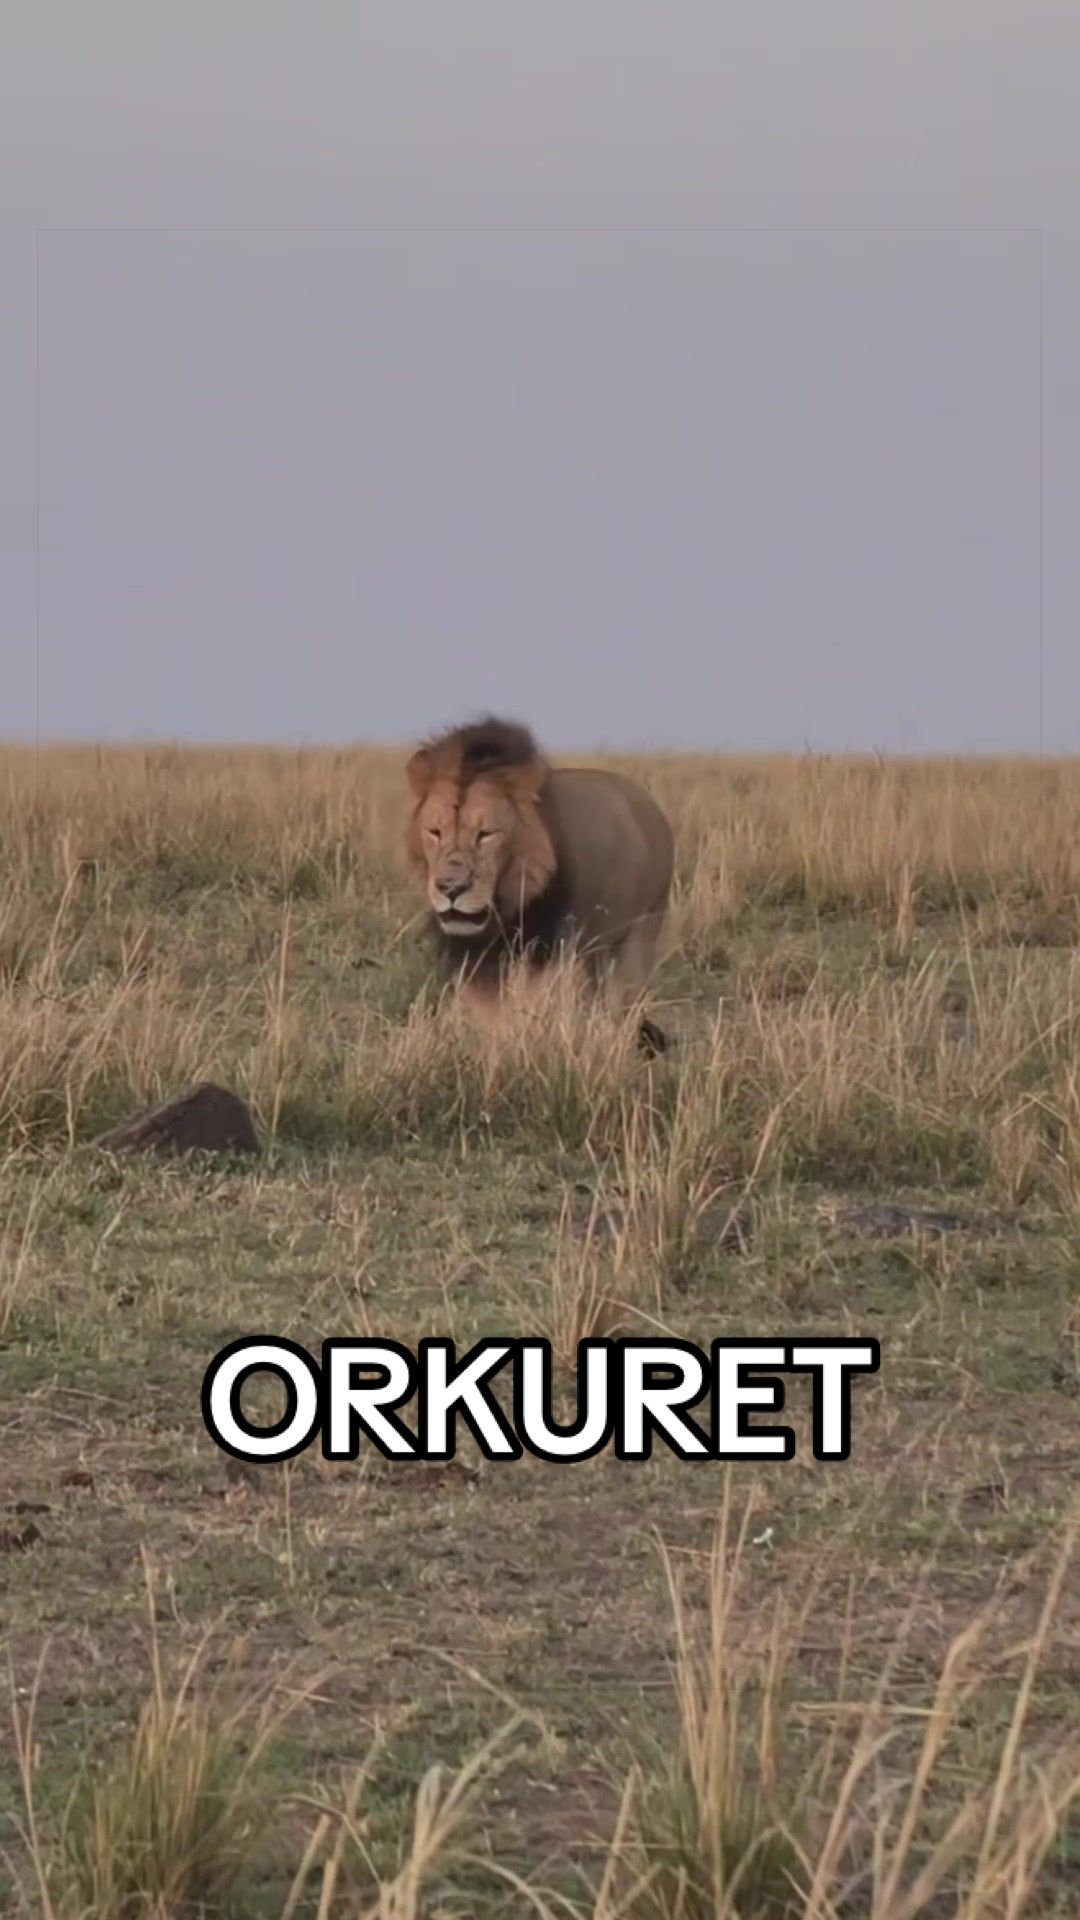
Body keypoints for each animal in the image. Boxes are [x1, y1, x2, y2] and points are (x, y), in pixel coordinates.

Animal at [404, 716, 675, 1054]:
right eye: (434, 832)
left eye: (486, 834)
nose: (451, 888)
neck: (503, 910)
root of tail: (650, 804)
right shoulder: (475, 961)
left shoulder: (544, 954)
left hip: (639, 936)